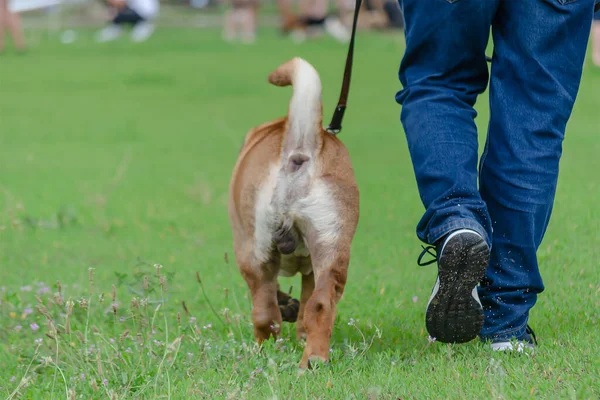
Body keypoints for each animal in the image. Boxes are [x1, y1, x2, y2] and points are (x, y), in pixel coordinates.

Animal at [229, 57, 360, 368]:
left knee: (265, 312)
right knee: (321, 304)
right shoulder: (312, 267)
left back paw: (265, 349)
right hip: (331, 245)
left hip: (255, 251)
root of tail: (300, 149)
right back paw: (313, 361)